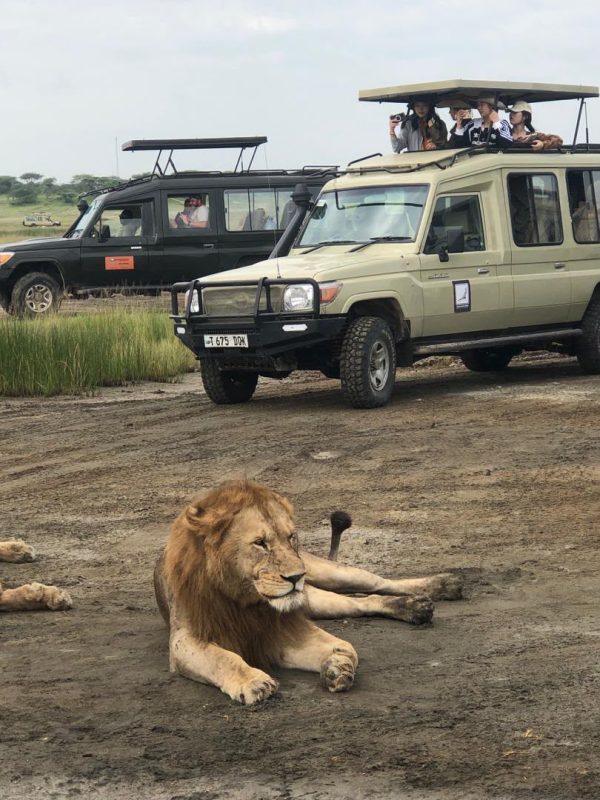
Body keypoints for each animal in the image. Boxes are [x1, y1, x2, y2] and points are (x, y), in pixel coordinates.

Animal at [154, 480, 463, 705]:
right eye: (260, 543)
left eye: (291, 537)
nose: (296, 577)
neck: (244, 599)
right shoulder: (185, 639)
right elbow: (223, 658)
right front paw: (254, 682)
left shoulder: (277, 630)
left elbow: (346, 647)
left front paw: (337, 666)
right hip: (317, 601)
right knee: (363, 602)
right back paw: (415, 608)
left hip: (328, 576)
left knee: (374, 583)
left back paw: (443, 586)